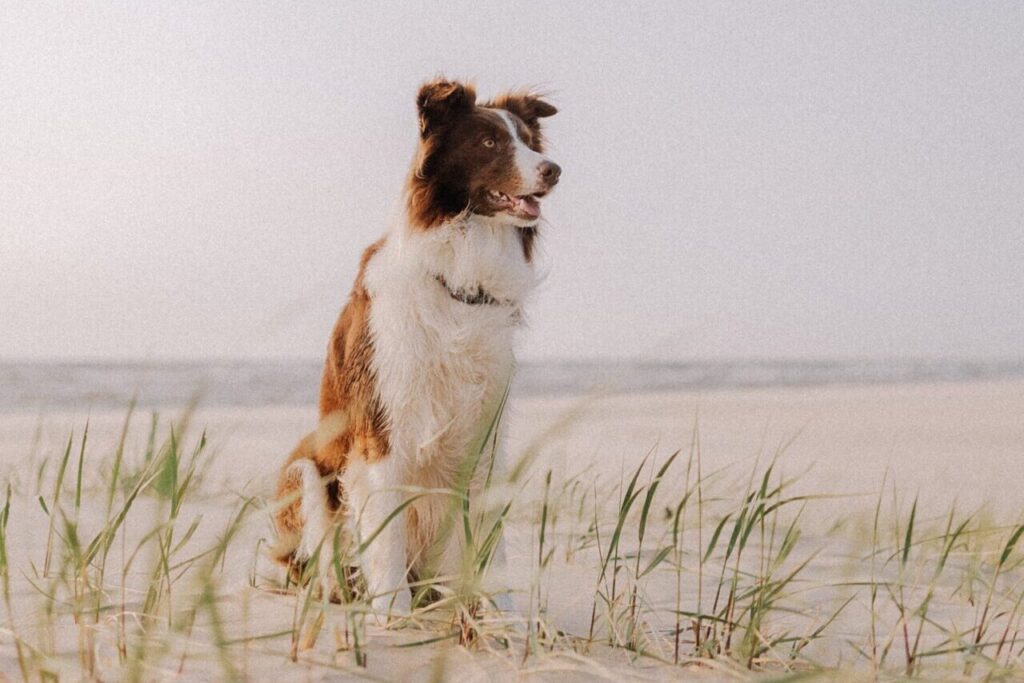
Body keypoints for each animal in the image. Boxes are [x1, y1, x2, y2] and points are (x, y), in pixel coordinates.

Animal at [272, 77, 561, 622]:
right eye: (489, 142)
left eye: (529, 142)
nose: (554, 170)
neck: (460, 276)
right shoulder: (384, 426)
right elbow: (385, 532)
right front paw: (391, 612)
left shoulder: (485, 430)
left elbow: (490, 532)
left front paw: (502, 611)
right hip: (306, 468)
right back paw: (343, 593)